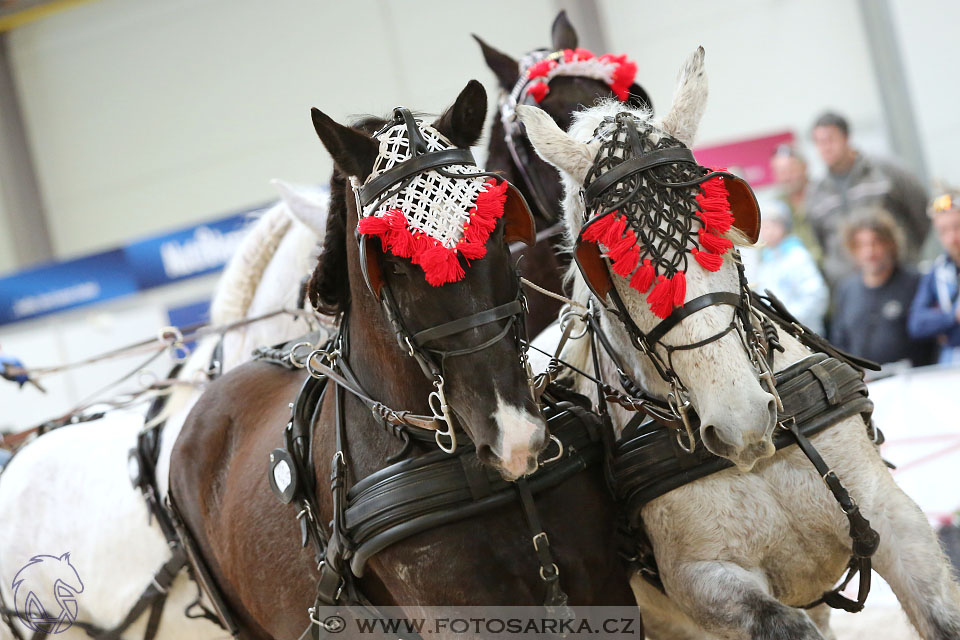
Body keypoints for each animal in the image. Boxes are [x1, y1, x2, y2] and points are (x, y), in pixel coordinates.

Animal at [516, 48, 960, 640]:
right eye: (605, 256)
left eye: (725, 215)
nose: (742, 421)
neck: (758, 461)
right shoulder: (705, 582)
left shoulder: (893, 519)